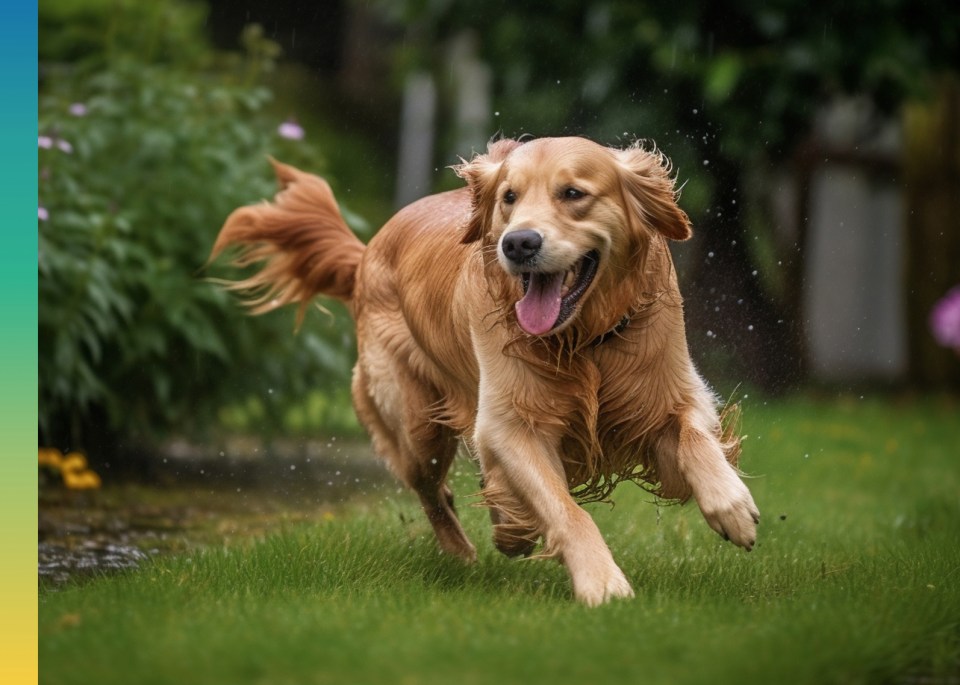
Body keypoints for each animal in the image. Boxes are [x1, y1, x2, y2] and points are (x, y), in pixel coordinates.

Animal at [214, 138, 760, 604]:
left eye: (573, 193)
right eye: (509, 198)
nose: (518, 243)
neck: (582, 340)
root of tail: (367, 250)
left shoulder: (666, 394)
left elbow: (694, 436)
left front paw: (732, 506)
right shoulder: (510, 422)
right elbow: (565, 509)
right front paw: (601, 582)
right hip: (415, 421)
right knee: (431, 488)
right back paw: (465, 551)